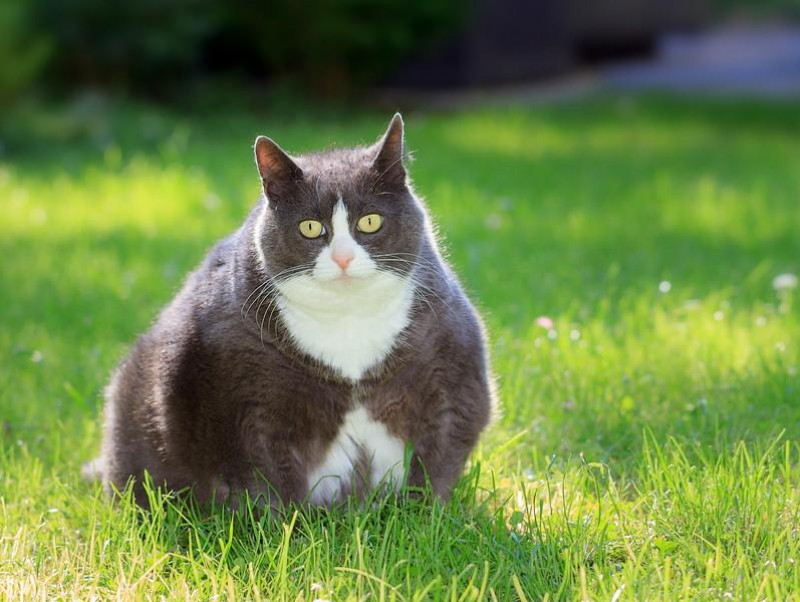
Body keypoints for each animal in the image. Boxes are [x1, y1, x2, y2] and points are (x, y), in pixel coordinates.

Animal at [83, 113, 494, 506]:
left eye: (370, 221)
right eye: (310, 227)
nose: (343, 258)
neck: (348, 325)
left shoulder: (452, 373)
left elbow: (438, 460)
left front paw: (426, 515)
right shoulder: (241, 402)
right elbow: (266, 481)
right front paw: (289, 529)